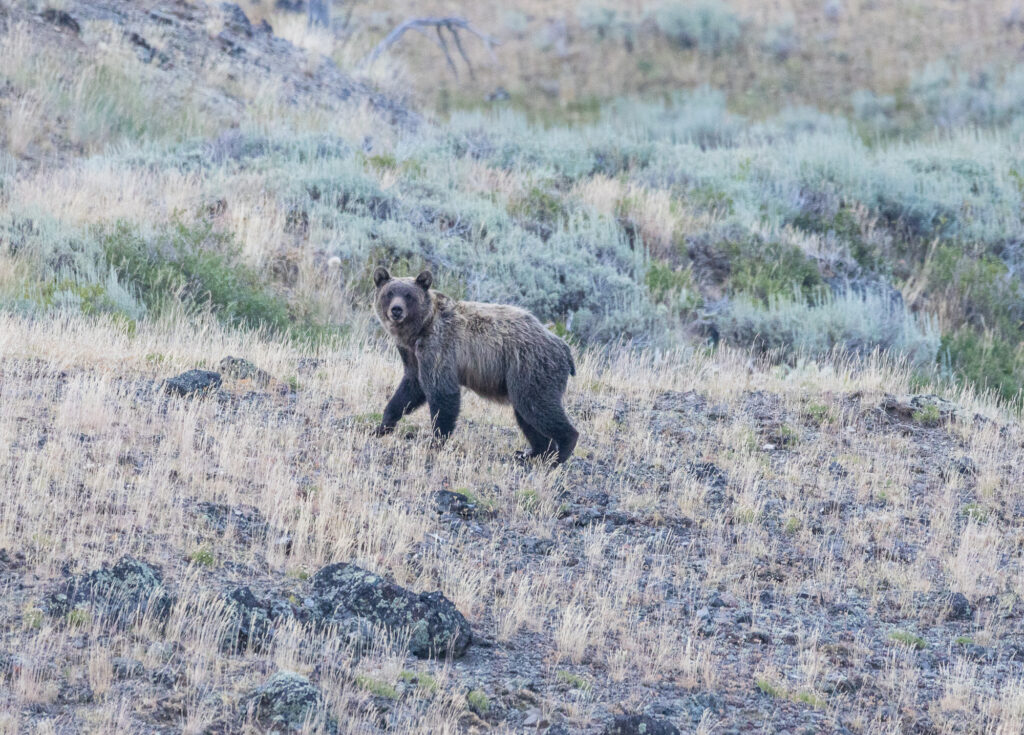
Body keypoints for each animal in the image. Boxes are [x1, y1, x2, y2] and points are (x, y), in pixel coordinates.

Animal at [372, 268, 581, 466]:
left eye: (409, 295)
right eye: (389, 293)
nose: (396, 310)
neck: (420, 329)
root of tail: (563, 348)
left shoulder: (440, 347)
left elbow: (442, 392)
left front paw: (435, 440)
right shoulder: (413, 355)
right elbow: (409, 388)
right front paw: (382, 426)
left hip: (531, 367)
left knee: (538, 407)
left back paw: (560, 453)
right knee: (527, 415)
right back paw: (534, 453)